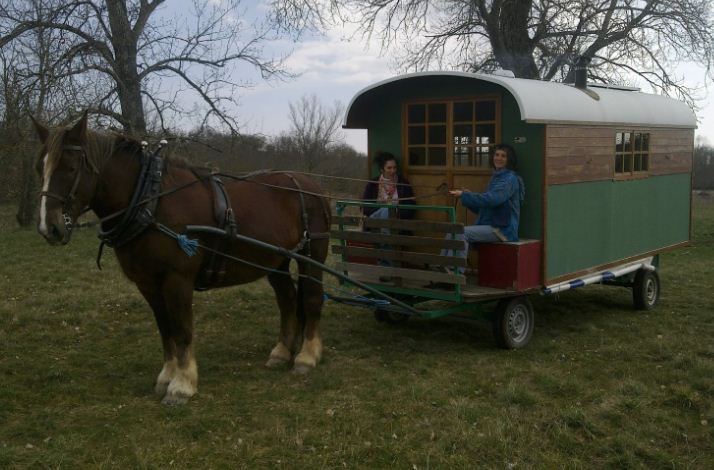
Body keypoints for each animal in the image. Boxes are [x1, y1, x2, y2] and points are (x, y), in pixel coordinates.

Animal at [32, 114, 330, 404]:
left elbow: (183, 330)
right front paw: (167, 376)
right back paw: (282, 352)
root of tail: (309, 183)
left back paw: (307, 355)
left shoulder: (178, 279)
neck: (150, 202)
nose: (49, 228)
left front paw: (183, 384)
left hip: (311, 253)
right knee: (287, 300)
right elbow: (166, 329)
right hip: (276, 260)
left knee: (312, 298)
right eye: (39, 168)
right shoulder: (148, 283)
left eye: (71, 168)